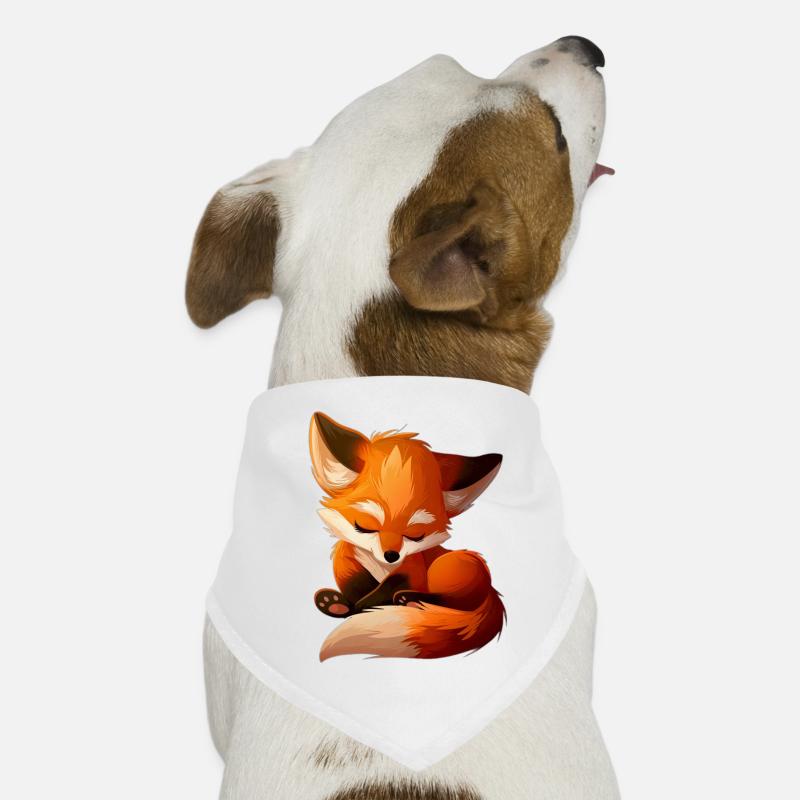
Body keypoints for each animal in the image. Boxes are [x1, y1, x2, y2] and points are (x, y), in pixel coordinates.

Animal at [309, 411, 506, 661]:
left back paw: (411, 601)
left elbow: (384, 590)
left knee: (460, 599)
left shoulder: (413, 570)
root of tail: (492, 592)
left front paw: (360, 608)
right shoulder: (348, 564)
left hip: (444, 567)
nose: (391, 555)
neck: (379, 566)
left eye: (415, 535)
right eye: (365, 527)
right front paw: (344, 604)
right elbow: (356, 586)